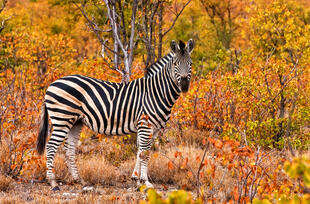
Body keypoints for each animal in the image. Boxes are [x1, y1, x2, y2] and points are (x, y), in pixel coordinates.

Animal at [36, 38, 194, 191]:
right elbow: (144, 153)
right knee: (51, 147)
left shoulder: (154, 128)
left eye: (190, 64)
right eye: (175, 64)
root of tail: (51, 84)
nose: (184, 86)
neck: (156, 92)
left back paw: (80, 181)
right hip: (62, 118)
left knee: (69, 150)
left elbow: (141, 151)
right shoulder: (145, 124)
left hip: (75, 122)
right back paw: (53, 183)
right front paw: (145, 182)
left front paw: (136, 180)